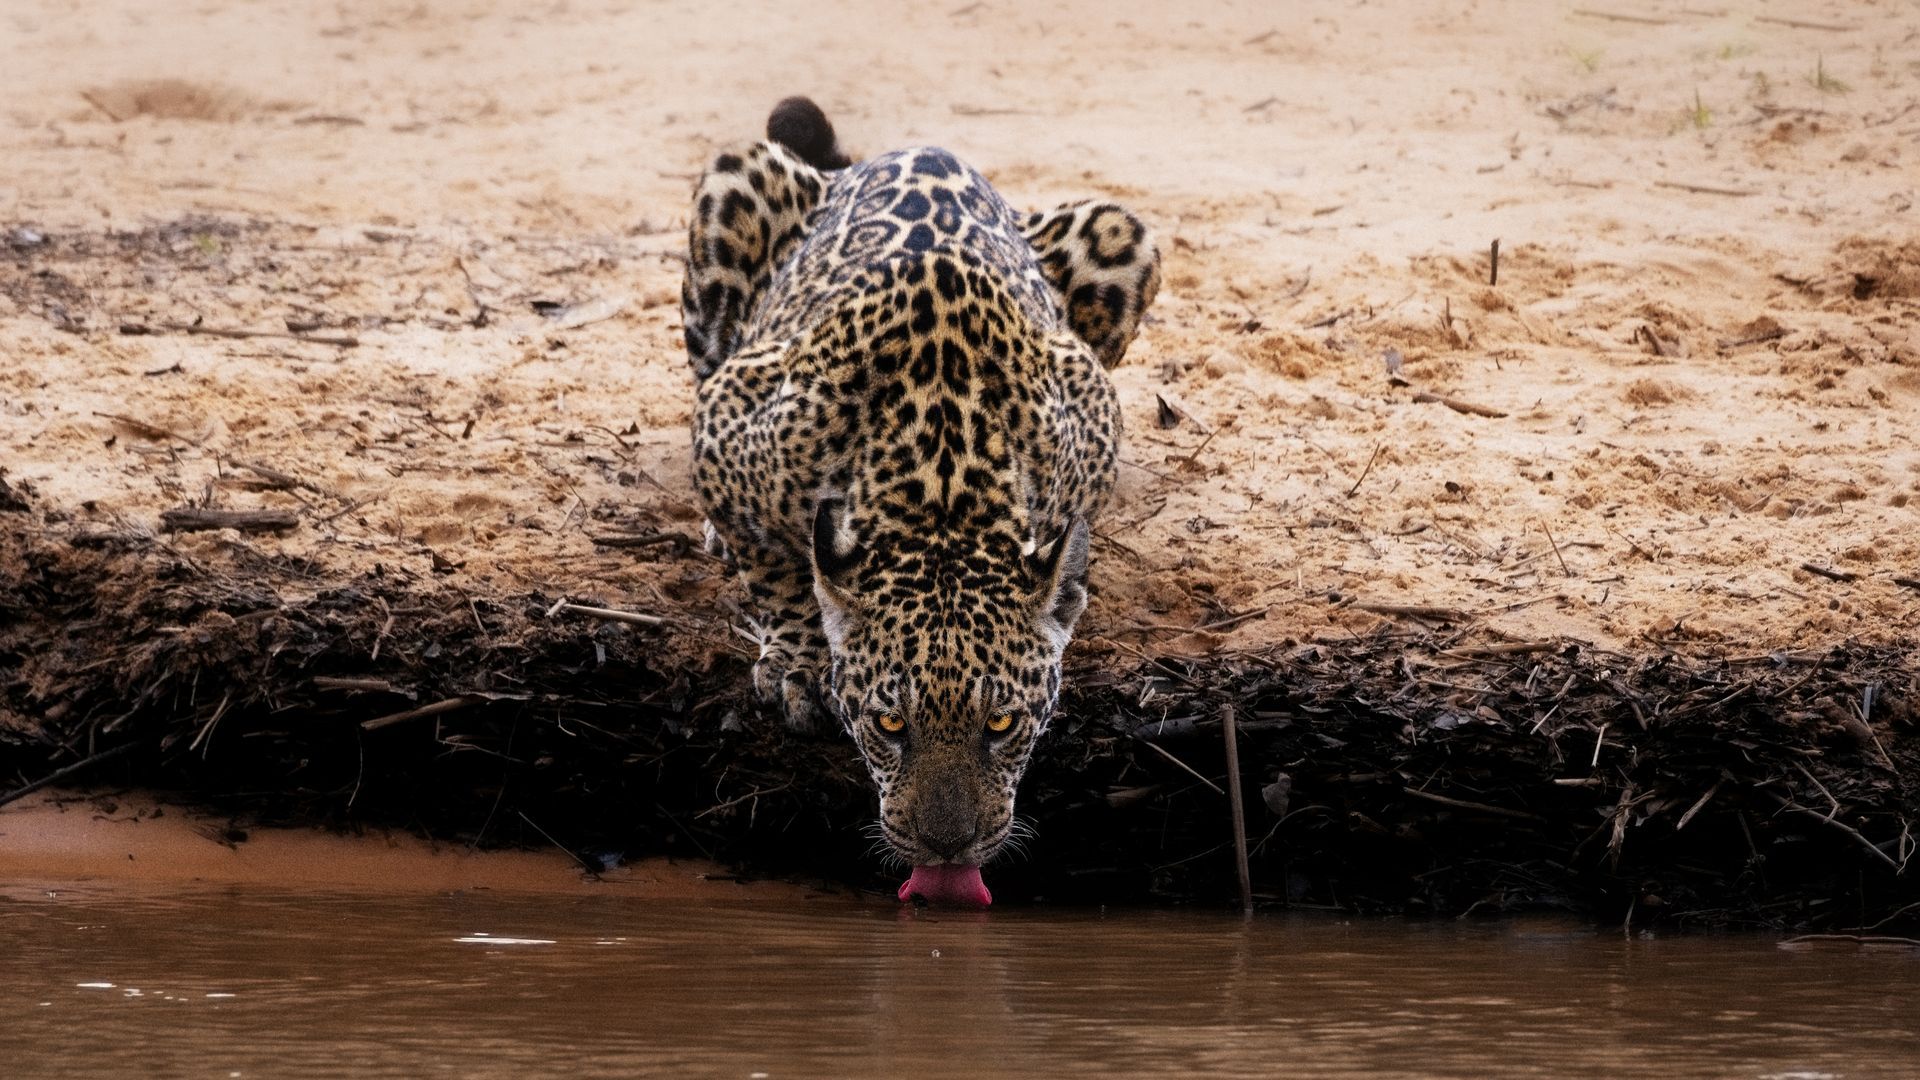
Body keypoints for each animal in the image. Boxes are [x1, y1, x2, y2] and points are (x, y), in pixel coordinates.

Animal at [681, 97, 1159, 888]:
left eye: (1001, 724)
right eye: (889, 724)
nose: (946, 848)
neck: (940, 491)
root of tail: (914, 149)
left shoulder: (1089, 404)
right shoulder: (730, 410)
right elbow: (775, 563)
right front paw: (800, 660)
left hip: (1121, 232)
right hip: (733, 190)